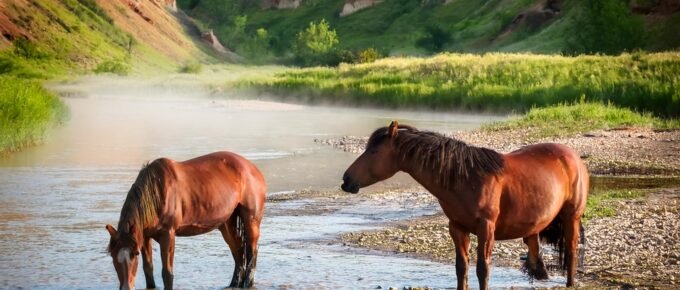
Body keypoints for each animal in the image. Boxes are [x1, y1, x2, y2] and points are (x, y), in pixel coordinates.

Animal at [105, 152, 266, 290]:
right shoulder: (144, 237)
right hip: (226, 223)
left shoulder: (168, 234)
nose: (126, 287)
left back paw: (247, 284)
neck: (156, 193)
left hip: (251, 220)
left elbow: (167, 273)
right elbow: (148, 270)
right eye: (112, 255)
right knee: (238, 251)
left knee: (252, 251)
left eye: (135, 254)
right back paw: (234, 283)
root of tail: (252, 168)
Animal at [342, 121, 588, 288]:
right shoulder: (457, 227)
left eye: (374, 151)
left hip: (572, 217)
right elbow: (461, 267)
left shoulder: (486, 227)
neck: (466, 178)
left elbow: (482, 268)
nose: (346, 180)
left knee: (571, 249)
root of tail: (573, 157)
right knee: (534, 245)